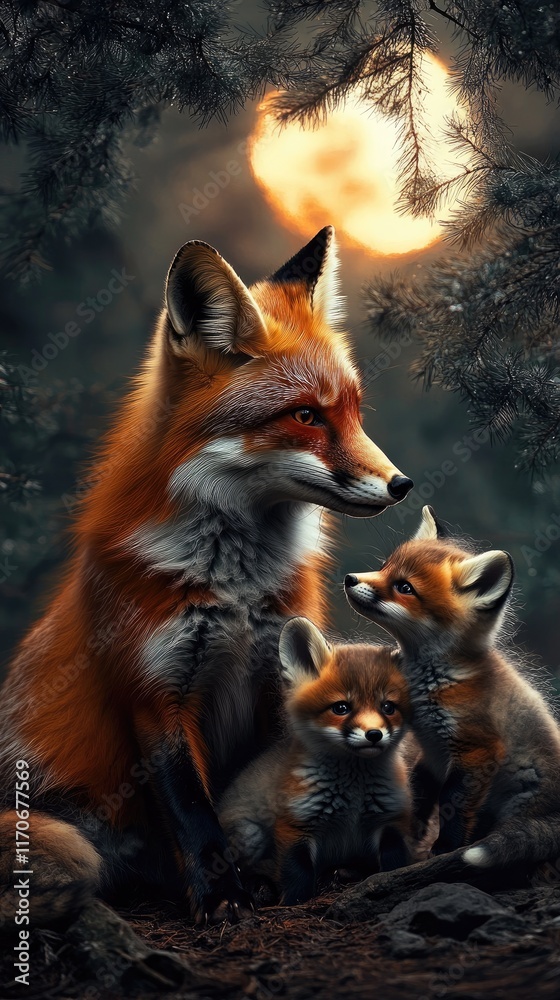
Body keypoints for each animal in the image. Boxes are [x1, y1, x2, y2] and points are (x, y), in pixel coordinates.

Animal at [218, 617, 412, 904]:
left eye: (388, 707)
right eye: (341, 708)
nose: (374, 735)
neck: (353, 798)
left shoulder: (391, 820)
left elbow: (395, 862)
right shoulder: (295, 823)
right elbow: (297, 874)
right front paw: (293, 903)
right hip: (249, 834)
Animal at [344, 504, 560, 874]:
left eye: (404, 587)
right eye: (385, 566)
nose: (349, 579)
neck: (432, 682)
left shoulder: (476, 751)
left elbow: (453, 803)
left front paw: (444, 848)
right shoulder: (432, 751)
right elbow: (418, 796)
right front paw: (406, 843)